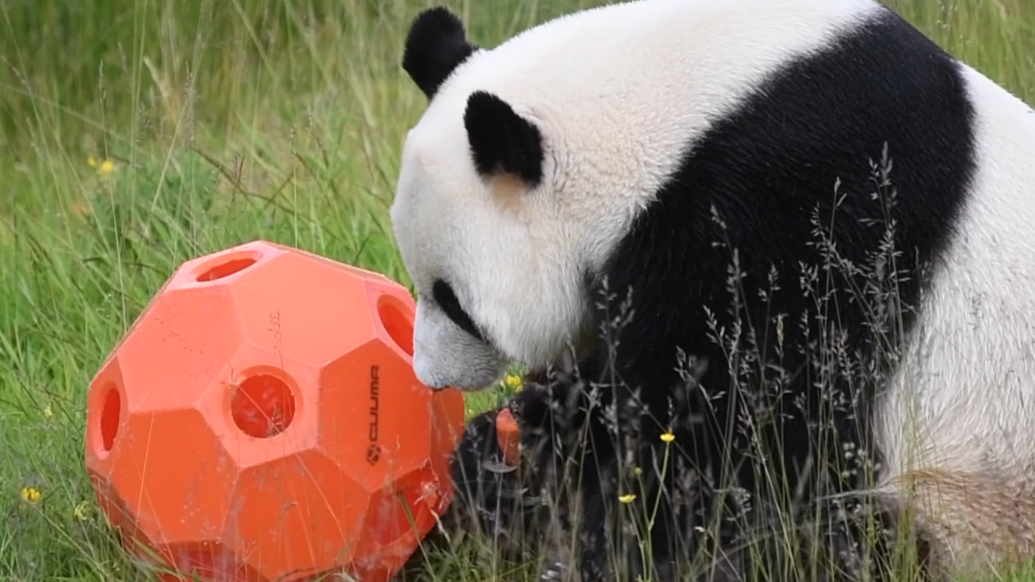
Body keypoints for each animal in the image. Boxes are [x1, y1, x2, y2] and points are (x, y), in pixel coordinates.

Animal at [389, 0, 1035, 575]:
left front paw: (603, 534)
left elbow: (738, 426)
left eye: (453, 302)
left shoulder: (802, 207)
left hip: (974, 497)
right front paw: (509, 451)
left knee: (838, 541)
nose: (432, 377)